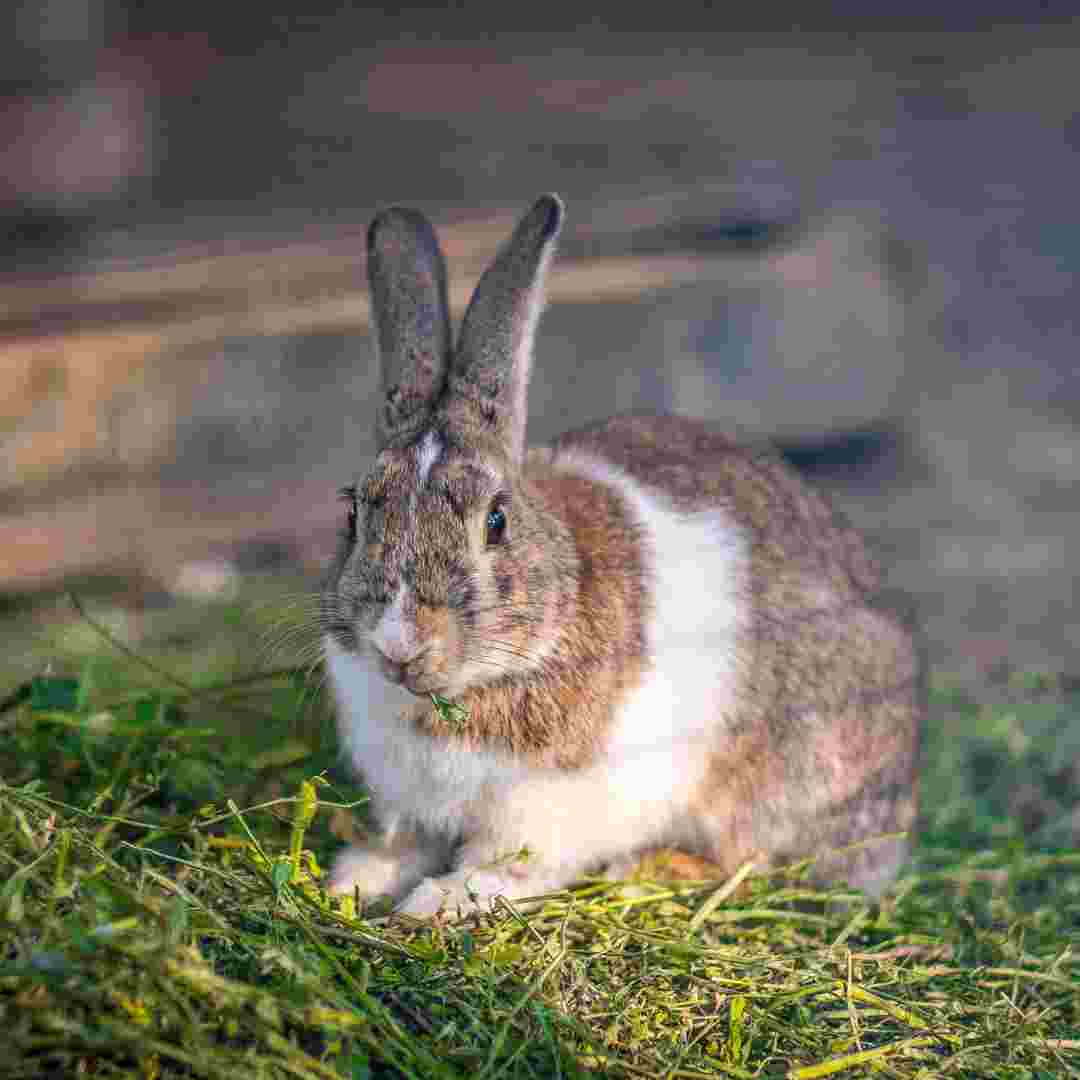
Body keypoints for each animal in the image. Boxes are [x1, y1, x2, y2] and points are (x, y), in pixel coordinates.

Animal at [317, 196, 920, 920]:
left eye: (496, 521)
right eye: (355, 511)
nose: (400, 644)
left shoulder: (543, 810)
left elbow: (509, 868)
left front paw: (439, 901)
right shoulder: (409, 802)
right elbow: (401, 843)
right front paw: (352, 880)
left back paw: (649, 869)